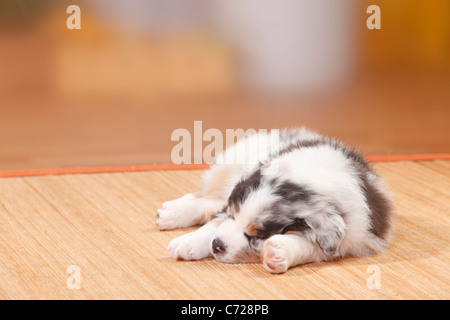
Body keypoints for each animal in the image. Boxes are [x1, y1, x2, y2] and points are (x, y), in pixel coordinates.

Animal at [156, 127, 394, 272]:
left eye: (256, 235)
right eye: (233, 215)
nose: (217, 245)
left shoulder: (349, 237)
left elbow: (310, 246)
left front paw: (278, 253)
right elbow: (215, 222)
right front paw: (188, 242)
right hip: (230, 166)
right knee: (208, 198)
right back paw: (169, 213)